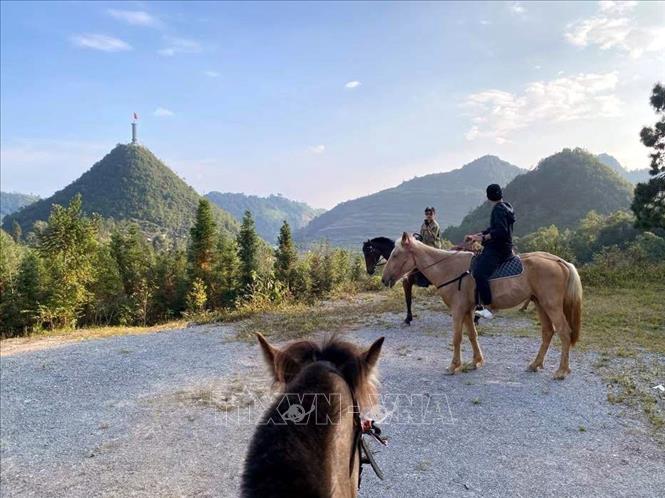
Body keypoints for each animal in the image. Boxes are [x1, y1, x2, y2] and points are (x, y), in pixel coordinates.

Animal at [381, 232, 582, 380]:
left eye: (396, 255)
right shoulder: (467, 310)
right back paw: (535, 364)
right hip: (540, 304)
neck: (450, 269)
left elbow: (457, 338)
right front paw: (476, 361)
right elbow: (472, 335)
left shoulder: (457, 310)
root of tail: (559, 261)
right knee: (548, 332)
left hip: (551, 305)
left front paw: (453, 366)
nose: (384, 279)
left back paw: (562, 371)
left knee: (564, 332)